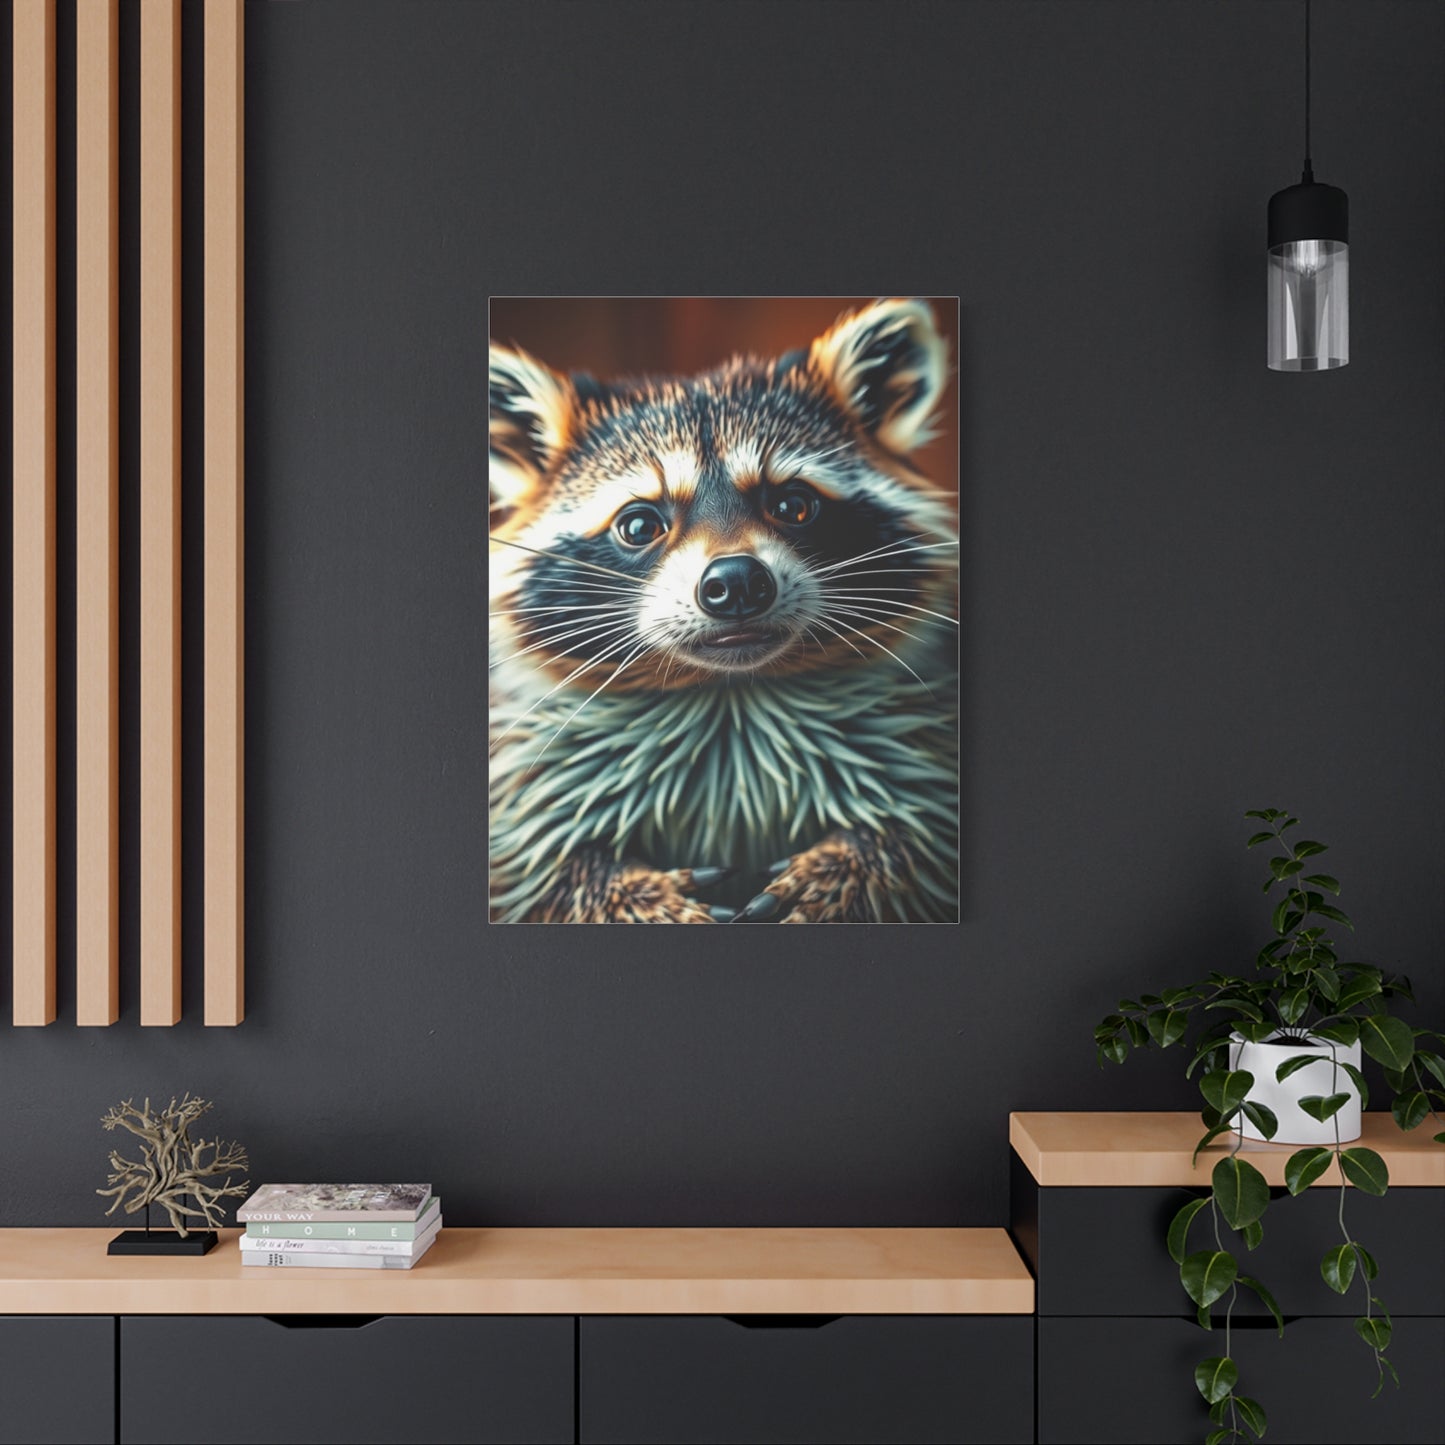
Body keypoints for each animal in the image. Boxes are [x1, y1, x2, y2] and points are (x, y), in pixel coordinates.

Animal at [489, 298, 958, 923]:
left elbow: (917, 837)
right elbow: (543, 869)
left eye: (793, 505)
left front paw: (852, 865)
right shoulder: (526, 777)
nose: (736, 583)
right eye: (639, 525)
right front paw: (624, 891)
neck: (729, 692)